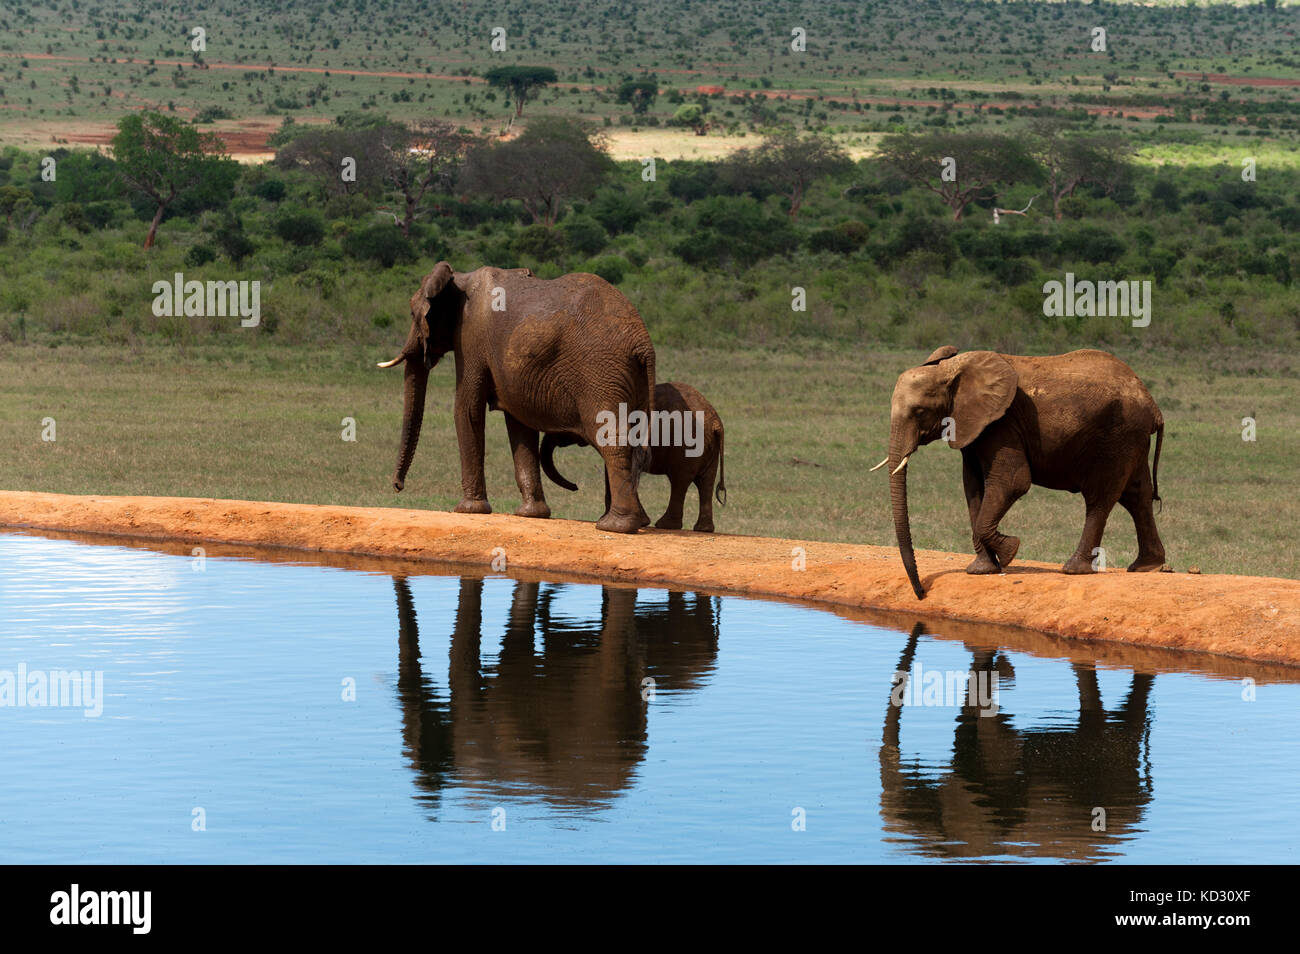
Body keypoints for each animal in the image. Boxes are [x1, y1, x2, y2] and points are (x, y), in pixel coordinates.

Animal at [379, 261, 655, 535]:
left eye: (413, 314)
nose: (397, 486)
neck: (459, 278)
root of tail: (643, 343)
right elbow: (519, 423)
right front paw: (530, 514)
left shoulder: (470, 336)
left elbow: (466, 410)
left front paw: (467, 510)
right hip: (628, 379)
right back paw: (636, 521)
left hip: (600, 372)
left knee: (610, 438)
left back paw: (614, 526)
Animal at [883, 345, 1170, 597]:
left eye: (919, 411)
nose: (921, 592)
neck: (949, 369)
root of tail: (1153, 405)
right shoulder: (973, 427)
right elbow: (973, 487)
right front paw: (982, 570)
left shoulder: (1001, 423)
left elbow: (1013, 481)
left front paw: (1010, 550)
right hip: (1132, 437)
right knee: (1137, 495)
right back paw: (1147, 567)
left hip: (1117, 435)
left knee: (1100, 498)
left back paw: (1074, 570)